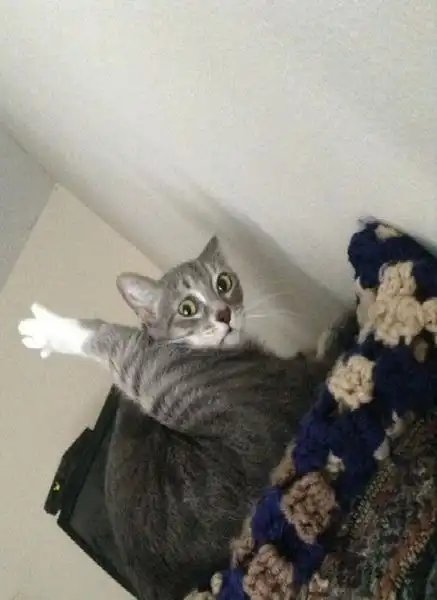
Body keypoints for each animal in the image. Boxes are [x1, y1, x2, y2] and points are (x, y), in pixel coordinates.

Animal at [18, 236, 356, 600]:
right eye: (187, 308)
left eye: (224, 283)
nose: (225, 313)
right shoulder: (160, 371)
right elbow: (117, 343)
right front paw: (52, 331)